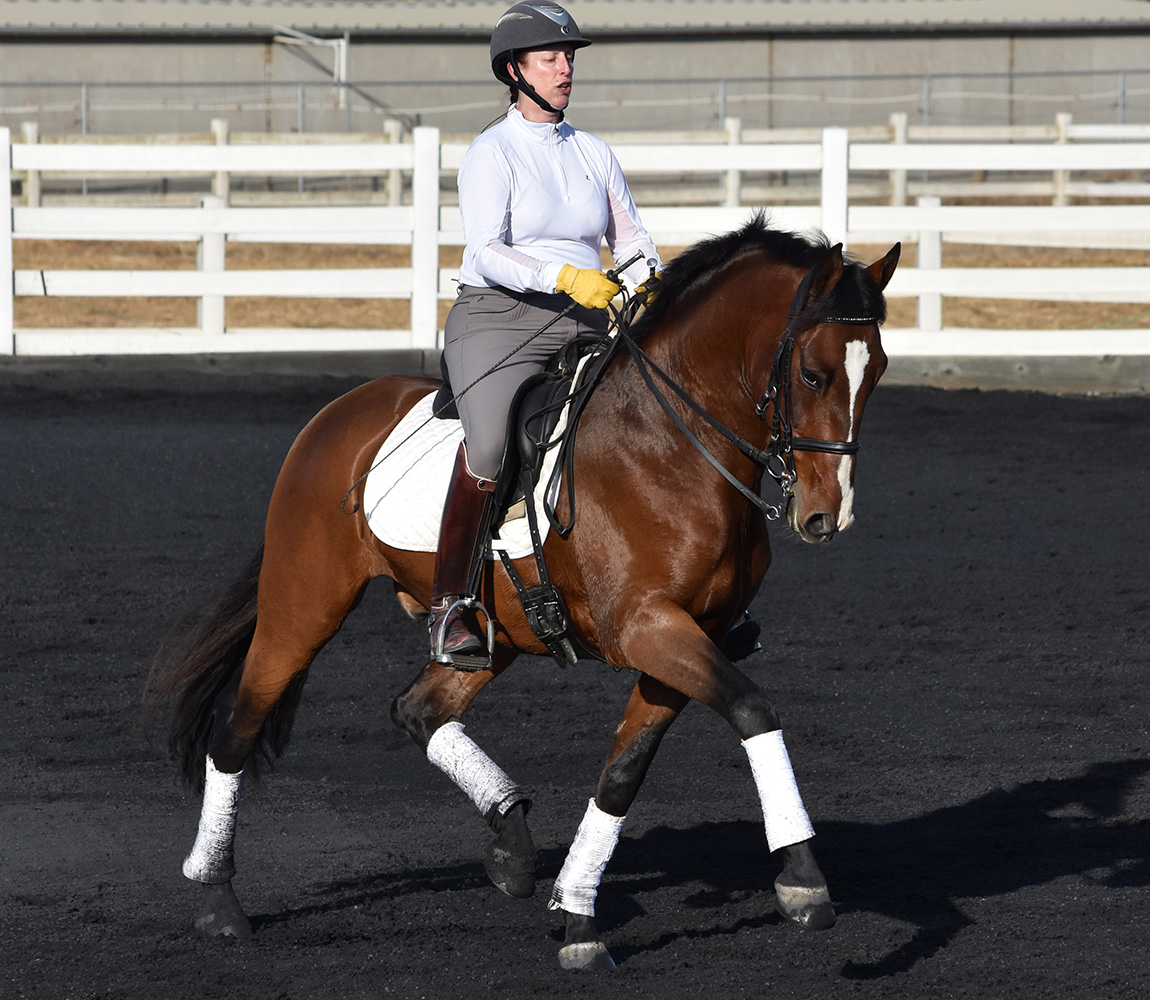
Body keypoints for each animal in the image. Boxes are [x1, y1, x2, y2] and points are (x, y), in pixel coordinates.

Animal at [146, 217, 897, 970]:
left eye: (880, 371)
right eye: (813, 373)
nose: (826, 516)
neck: (671, 447)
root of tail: (336, 413)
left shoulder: (689, 635)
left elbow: (623, 772)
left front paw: (578, 915)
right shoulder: (648, 627)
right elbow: (752, 709)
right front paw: (803, 881)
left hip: (496, 630)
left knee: (419, 709)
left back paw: (511, 844)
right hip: (304, 606)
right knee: (238, 727)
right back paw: (217, 901)